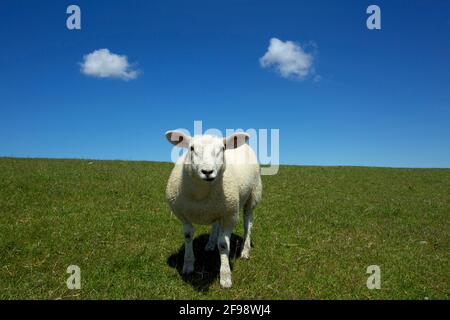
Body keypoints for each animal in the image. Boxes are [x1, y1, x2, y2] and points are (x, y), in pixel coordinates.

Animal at [165, 130, 264, 288]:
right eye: (191, 148)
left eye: (222, 149)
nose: (207, 171)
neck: (201, 195)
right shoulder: (182, 215)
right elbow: (188, 236)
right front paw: (188, 265)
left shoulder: (230, 216)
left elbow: (223, 244)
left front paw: (225, 276)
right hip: (217, 208)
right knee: (216, 224)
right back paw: (211, 244)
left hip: (254, 194)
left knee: (248, 224)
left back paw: (245, 250)